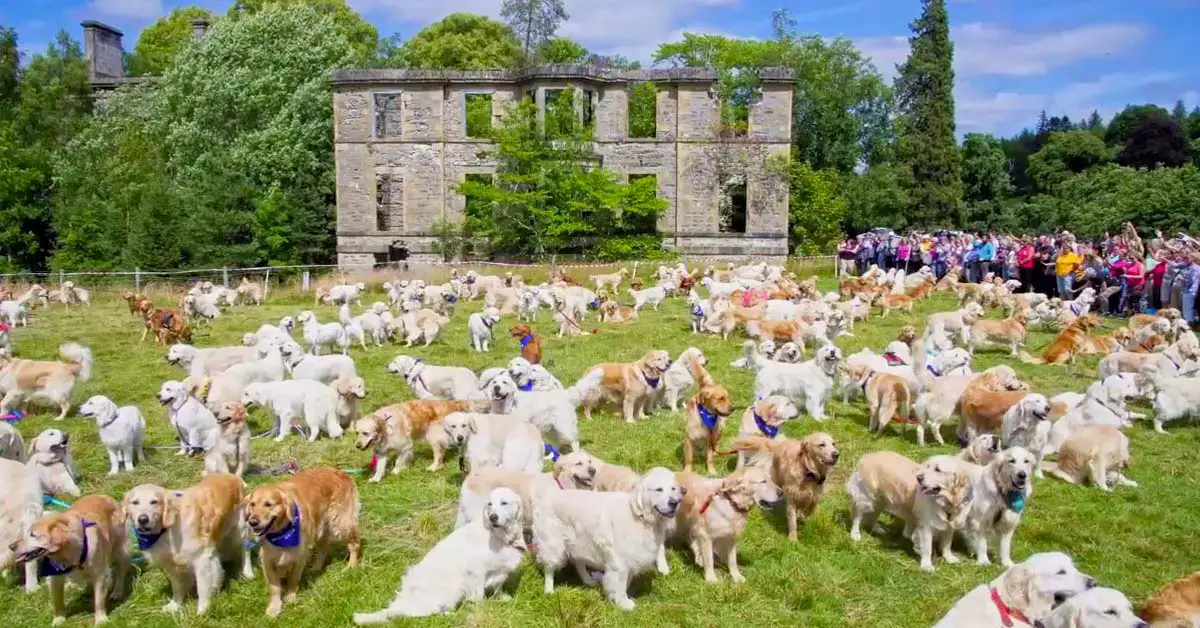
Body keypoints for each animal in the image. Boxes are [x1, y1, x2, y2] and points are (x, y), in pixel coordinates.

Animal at [122, 477, 253, 614]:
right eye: (135, 502)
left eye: (154, 502)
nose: (143, 519)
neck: (166, 530)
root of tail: (232, 477)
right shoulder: (171, 564)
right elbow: (177, 586)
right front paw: (175, 604)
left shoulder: (201, 558)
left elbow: (202, 587)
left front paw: (203, 609)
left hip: (240, 530)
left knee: (246, 550)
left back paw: (247, 572)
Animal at [241, 468, 357, 614]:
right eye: (252, 504)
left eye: (268, 504)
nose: (253, 522)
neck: (281, 532)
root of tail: (340, 471)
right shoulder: (268, 559)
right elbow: (274, 587)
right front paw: (274, 607)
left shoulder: (299, 555)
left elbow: (293, 578)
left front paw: (290, 598)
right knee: (324, 548)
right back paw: (316, 568)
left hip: (341, 523)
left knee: (354, 543)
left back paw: (351, 566)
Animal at [350, 487, 523, 624]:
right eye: (489, 504)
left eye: (504, 503)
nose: (493, 517)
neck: (498, 536)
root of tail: (400, 604)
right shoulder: (475, 571)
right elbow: (478, 596)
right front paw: (481, 610)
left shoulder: (500, 570)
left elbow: (498, 586)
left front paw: (502, 597)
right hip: (453, 588)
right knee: (426, 612)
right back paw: (450, 614)